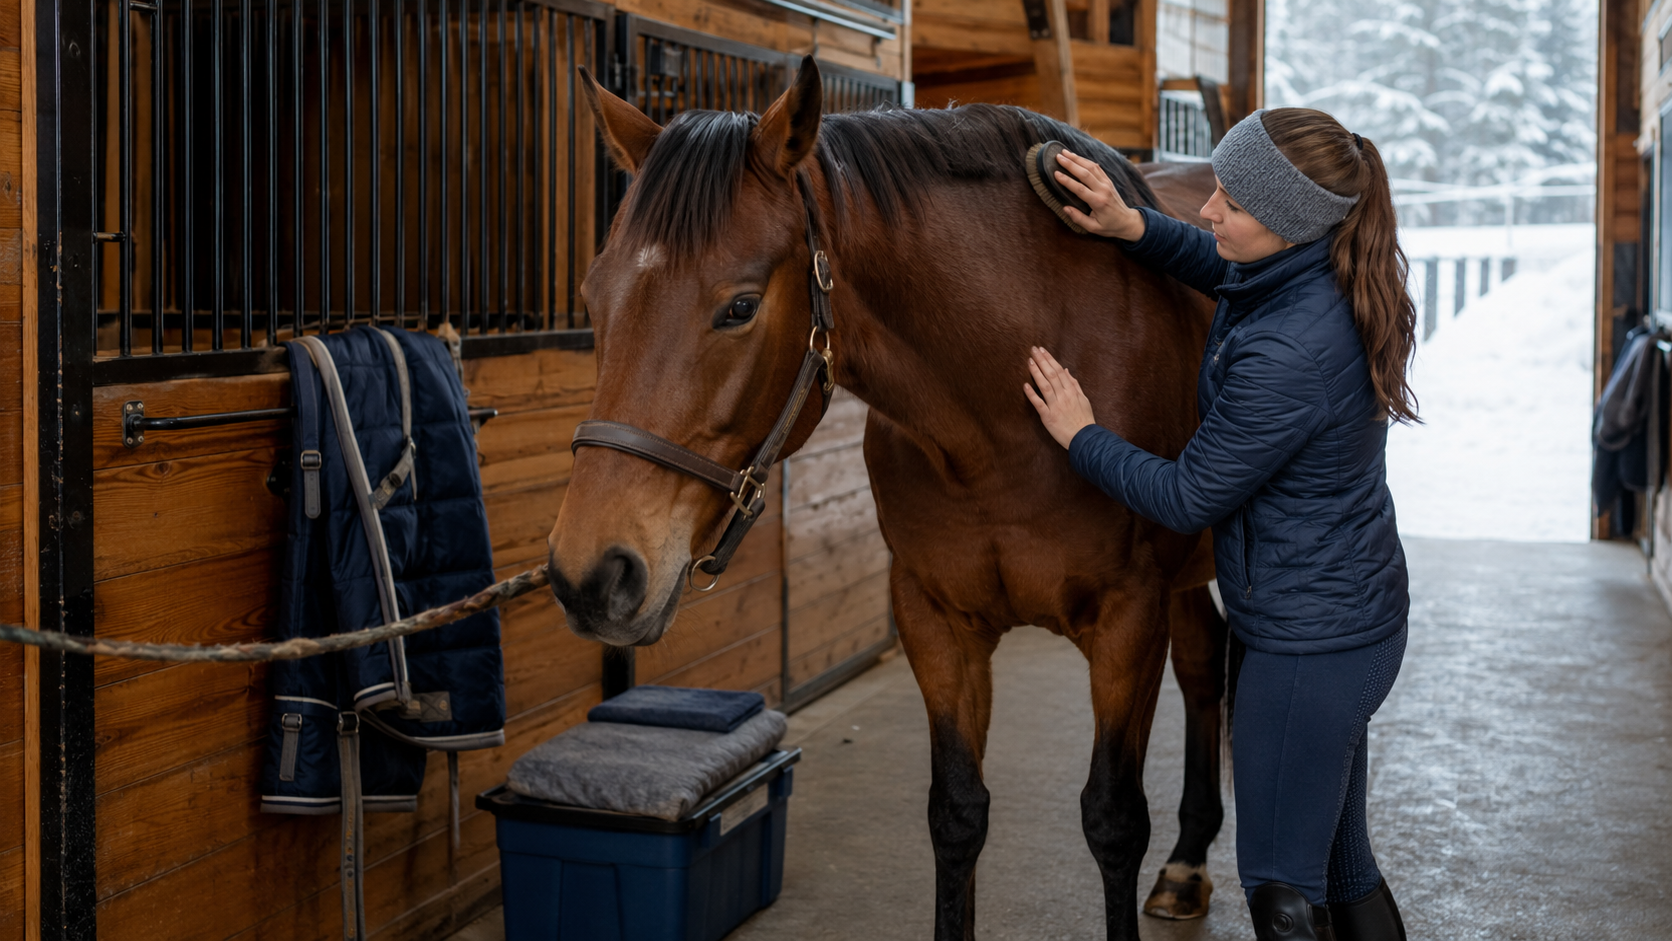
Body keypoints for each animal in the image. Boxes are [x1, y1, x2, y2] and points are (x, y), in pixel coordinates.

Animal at [546, 57, 1229, 941]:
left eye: (739, 306)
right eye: (594, 297)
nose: (590, 574)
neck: (1008, 401)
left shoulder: (1127, 621)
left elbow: (1113, 818)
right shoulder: (936, 621)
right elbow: (957, 813)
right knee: (1207, 658)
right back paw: (1188, 863)